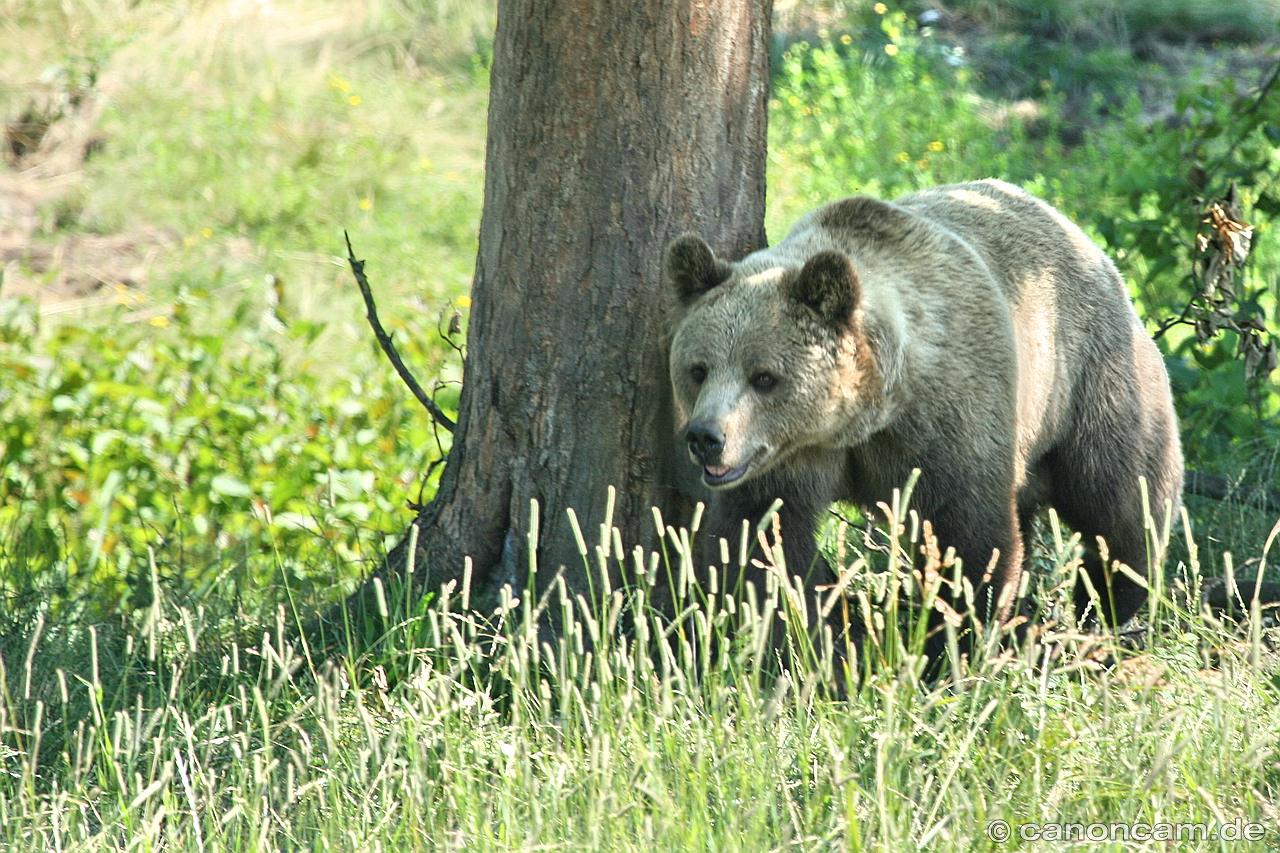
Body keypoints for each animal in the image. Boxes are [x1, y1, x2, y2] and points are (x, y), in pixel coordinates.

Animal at [670, 179, 1177, 653]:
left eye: (763, 377)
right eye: (698, 369)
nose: (706, 437)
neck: (868, 413)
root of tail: (1078, 234)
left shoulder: (951, 420)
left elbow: (968, 539)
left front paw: (954, 641)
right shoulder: (788, 459)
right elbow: (763, 542)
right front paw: (813, 640)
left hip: (1086, 375)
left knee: (1119, 495)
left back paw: (1110, 597)